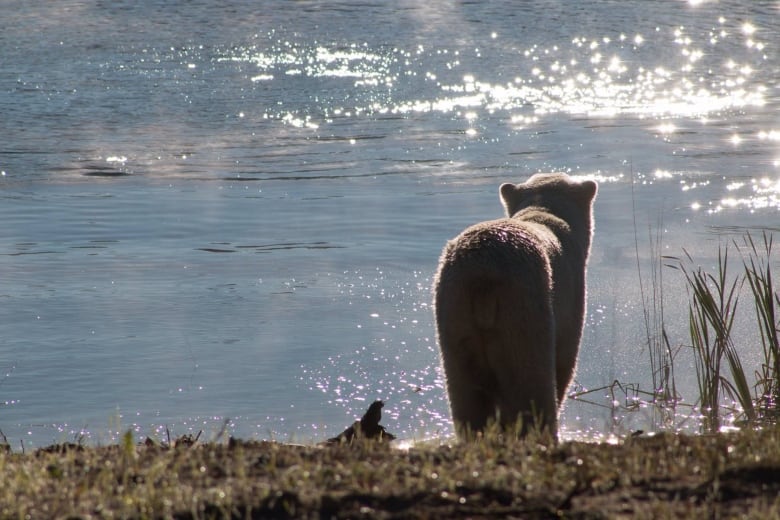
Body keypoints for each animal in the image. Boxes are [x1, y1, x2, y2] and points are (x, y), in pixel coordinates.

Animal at [432, 175, 596, 438]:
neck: (543, 212)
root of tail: (483, 275)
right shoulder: (571, 293)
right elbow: (565, 357)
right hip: (523, 306)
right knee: (530, 377)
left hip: (453, 309)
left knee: (465, 390)